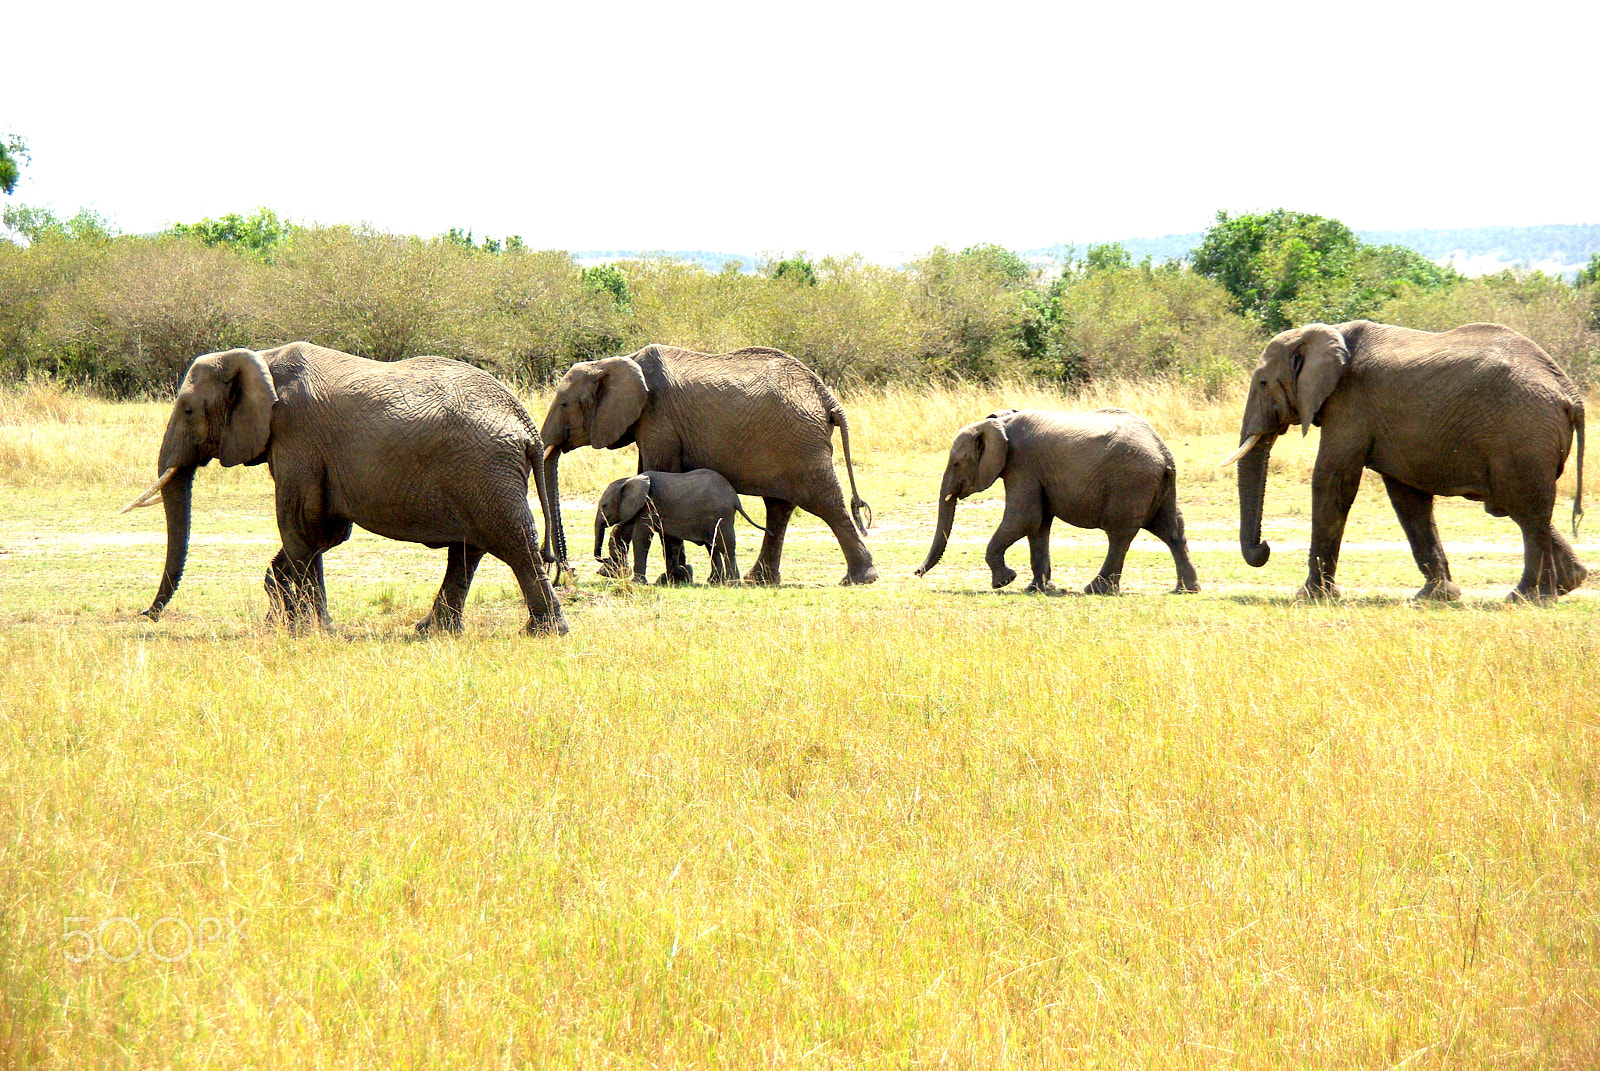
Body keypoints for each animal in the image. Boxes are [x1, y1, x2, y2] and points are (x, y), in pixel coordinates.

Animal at [126, 340, 576, 633]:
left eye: (187, 410)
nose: (146, 615)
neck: (262, 360)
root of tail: (527, 426)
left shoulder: (297, 438)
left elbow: (301, 526)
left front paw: (314, 630)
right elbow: (324, 532)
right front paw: (286, 621)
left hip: (487, 473)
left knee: (513, 544)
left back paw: (543, 633)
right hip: (481, 476)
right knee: (468, 551)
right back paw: (432, 631)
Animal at [601, 470, 774, 585]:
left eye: (603, 506)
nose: (602, 559)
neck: (630, 479)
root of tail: (735, 499)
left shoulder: (648, 506)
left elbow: (641, 537)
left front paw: (637, 582)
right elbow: (670, 541)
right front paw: (679, 575)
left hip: (721, 516)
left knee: (726, 546)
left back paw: (732, 583)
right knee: (713, 547)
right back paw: (715, 581)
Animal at [921, 406, 1196, 592]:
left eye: (956, 463)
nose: (917, 573)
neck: (1000, 422)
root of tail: (1164, 454)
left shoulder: (1021, 465)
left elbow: (1024, 518)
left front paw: (1004, 581)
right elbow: (1038, 525)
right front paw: (1037, 589)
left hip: (1129, 483)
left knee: (1119, 535)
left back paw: (1096, 590)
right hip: (1159, 486)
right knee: (1171, 530)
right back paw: (1186, 590)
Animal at [1222, 316, 1587, 601]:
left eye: (1263, 383)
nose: (1264, 547)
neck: (1328, 331)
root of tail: (1570, 395)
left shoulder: (1350, 403)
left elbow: (1332, 480)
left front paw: (1310, 596)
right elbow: (1407, 498)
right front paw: (1436, 596)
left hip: (1524, 433)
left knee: (1525, 511)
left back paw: (1524, 596)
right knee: (1524, 507)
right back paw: (1564, 586)